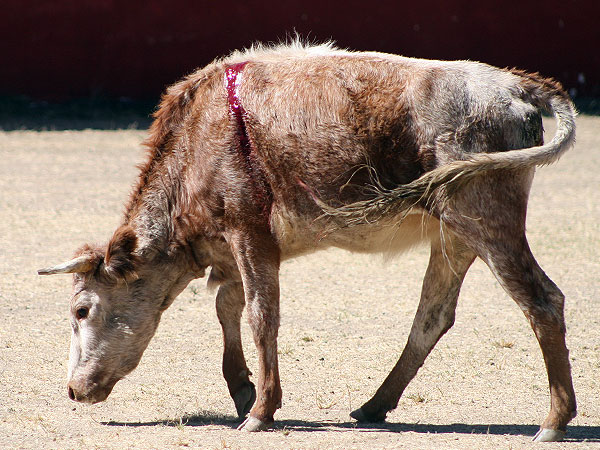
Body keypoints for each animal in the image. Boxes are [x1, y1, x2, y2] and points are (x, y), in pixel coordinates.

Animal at [37, 40, 576, 442]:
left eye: (81, 310)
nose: (73, 391)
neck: (198, 140)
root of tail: (515, 84)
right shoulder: (233, 250)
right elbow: (227, 305)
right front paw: (242, 390)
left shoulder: (249, 234)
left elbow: (260, 314)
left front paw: (261, 410)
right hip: (454, 236)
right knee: (432, 316)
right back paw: (374, 405)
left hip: (488, 221)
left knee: (542, 301)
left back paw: (553, 422)